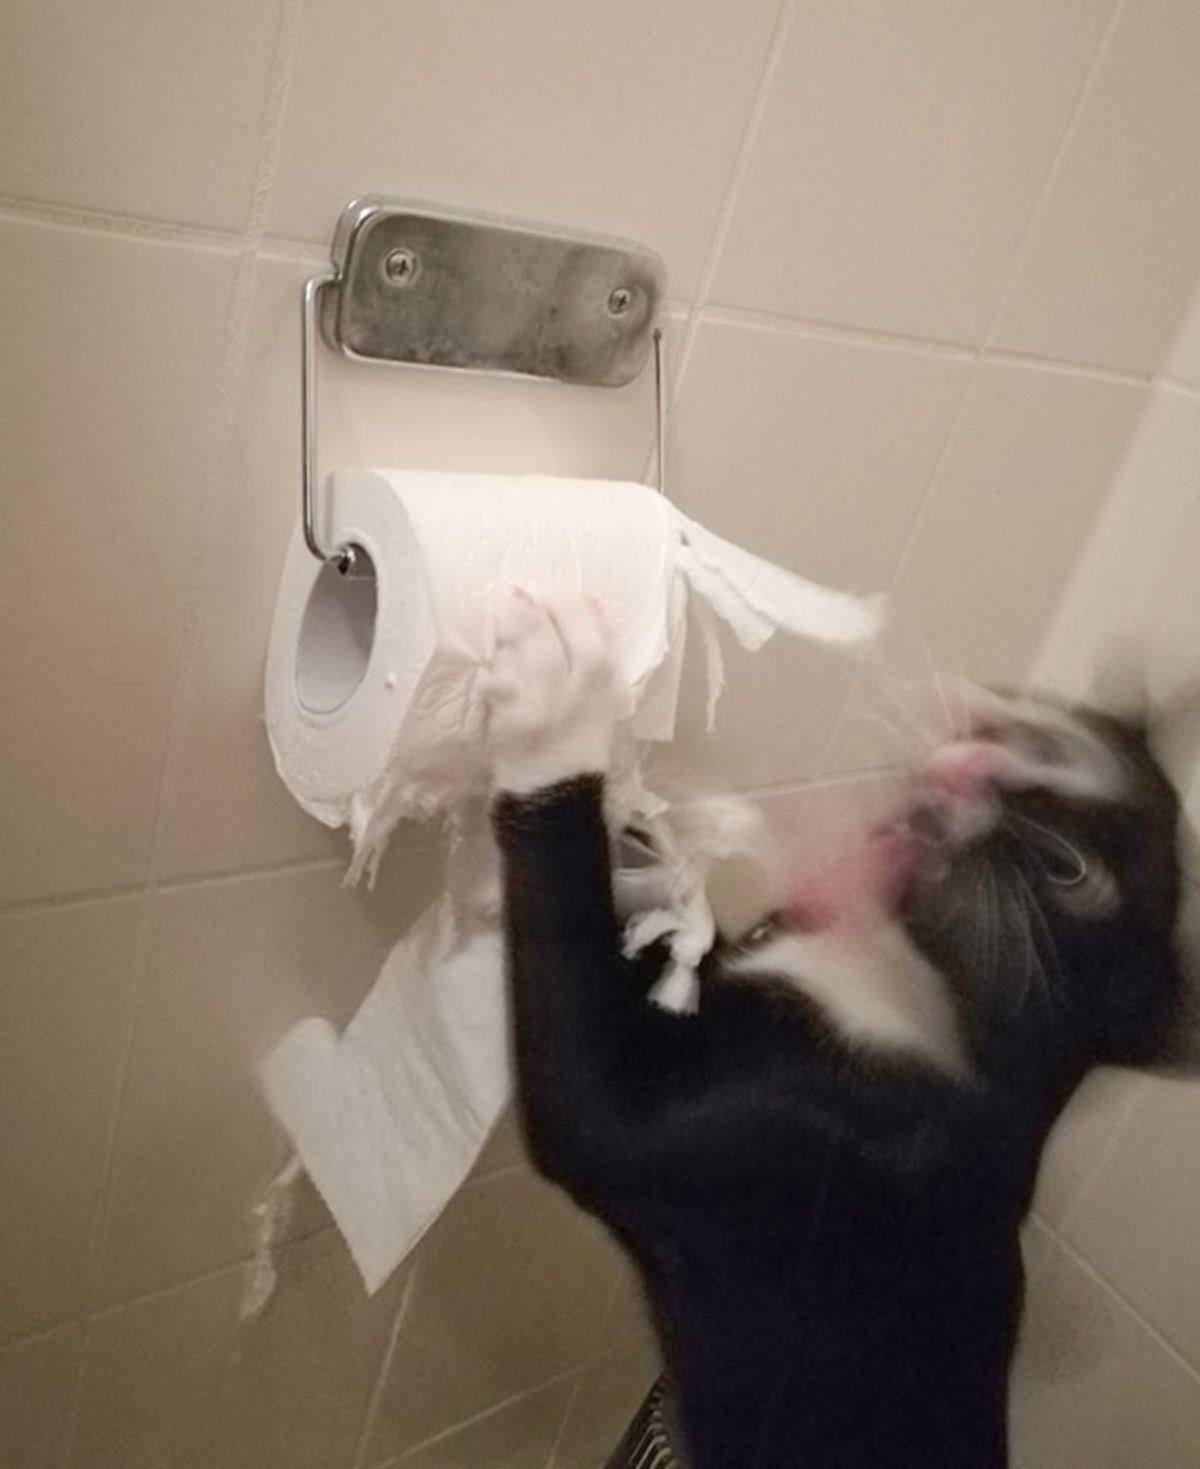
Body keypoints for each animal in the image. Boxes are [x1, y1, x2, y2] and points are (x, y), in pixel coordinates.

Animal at [478, 587, 1186, 1469]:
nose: (976, 760)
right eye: (1040, 734)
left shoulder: (785, 1138)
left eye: (1070, 869)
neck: (899, 973)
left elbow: (585, 1095)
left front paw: (562, 694)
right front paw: (644, 813)